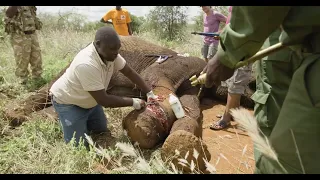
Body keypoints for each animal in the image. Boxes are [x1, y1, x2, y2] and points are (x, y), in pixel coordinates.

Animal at [1, 35, 255, 173]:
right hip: (70, 68)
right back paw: (12, 115)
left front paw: (182, 149)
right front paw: (142, 126)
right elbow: (155, 80)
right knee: (51, 88)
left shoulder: (195, 88)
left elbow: (190, 109)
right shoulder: (176, 65)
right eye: (251, 84)